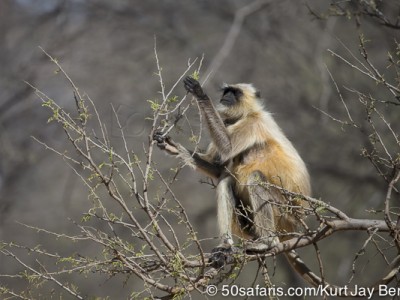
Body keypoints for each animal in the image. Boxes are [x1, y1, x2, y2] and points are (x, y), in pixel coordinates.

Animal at [152, 75, 400, 292]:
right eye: (226, 91)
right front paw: (170, 145)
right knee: (226, 180)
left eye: (235, 92)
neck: (244, 115)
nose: (226, 97)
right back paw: (226, 247)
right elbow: (219, 168)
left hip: (284, 213)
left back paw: (266, 242)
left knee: (254, 178)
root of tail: (295, 225)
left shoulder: (253, 123)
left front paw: (199, 93)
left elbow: (228, 150)